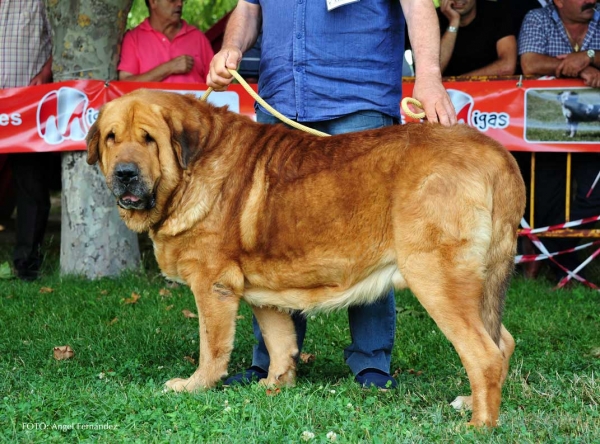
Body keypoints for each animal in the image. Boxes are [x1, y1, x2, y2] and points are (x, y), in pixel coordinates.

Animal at [85, 87, 524, 426]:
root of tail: (496, 154)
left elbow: (212, 346)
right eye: (111, 138)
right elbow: (280, 342)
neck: (191, 169)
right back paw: (470, 402)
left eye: (148, 139)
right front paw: (274, 385)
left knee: (483, 353)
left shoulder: (212, 286)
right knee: (501, 342)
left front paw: (194, 386)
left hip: (437, 279)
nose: (125, 173)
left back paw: (479, 424)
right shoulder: (263, 289)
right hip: (480, 283)